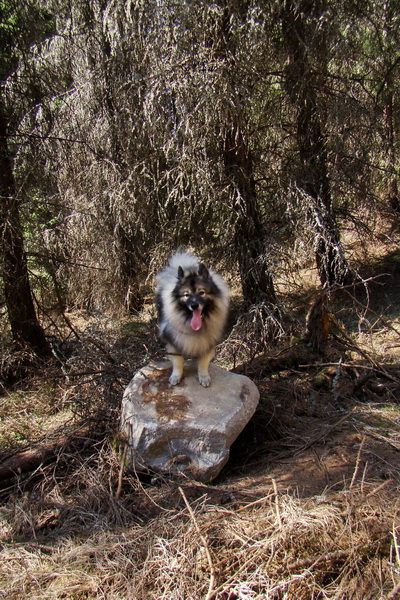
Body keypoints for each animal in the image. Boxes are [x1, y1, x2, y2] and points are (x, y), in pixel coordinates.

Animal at [157, 251, 230, 386]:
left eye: (202, 292)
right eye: (186, 295)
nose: (194, 305)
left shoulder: (208, 344)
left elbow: (203, 363)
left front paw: (203, 376)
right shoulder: (174, 342)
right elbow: (178, 362)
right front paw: (176, 376)